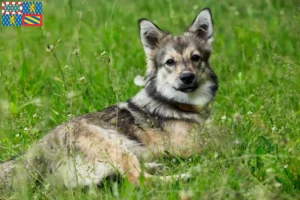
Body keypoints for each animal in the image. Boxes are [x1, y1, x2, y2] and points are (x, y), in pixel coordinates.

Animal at [0, 7, 218, 189]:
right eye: (170, 62)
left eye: (196, 58)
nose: (187, 77)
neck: (180, 105)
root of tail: (34, 154)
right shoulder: (188, 146)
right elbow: (224, 142)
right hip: (115, 146)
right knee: (137, 180)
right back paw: (186, 175)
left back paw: (157, 165)